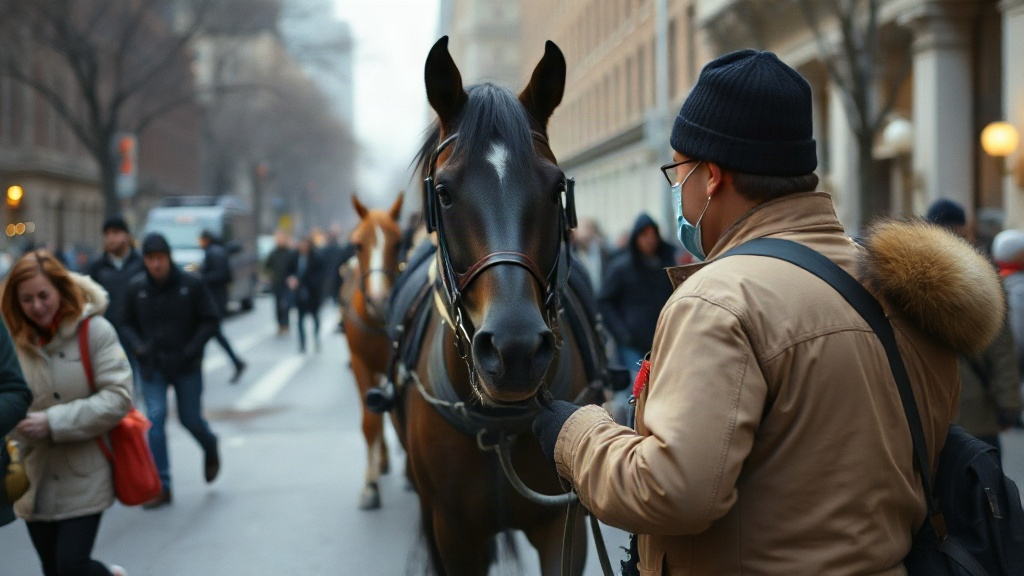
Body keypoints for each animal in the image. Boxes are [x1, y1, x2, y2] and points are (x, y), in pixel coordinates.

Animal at [385, 37, 610, 575]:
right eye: (444, 192)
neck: (500, 429)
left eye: (556, 188)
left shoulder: (563, 528)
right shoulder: (452, 533)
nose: (516, 349)